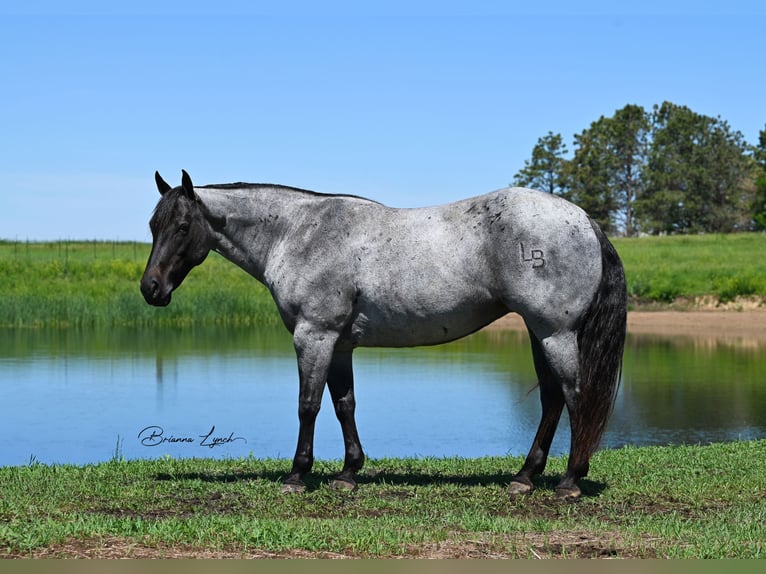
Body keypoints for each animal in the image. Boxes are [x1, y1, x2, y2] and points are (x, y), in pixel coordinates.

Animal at [141, 170, 628, 500]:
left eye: (182, 227)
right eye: (152, 226)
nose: (151, 288)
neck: (299, 233)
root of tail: (585, 219)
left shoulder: (314, 336)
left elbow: (308, 405)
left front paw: (297, 476)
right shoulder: (339, 344)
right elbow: (344, 405)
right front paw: (348, 473)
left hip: (556, 332)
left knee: (575, 396)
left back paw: (569, 481)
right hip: (538, 332)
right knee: (552, 398)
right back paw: (525, 477)